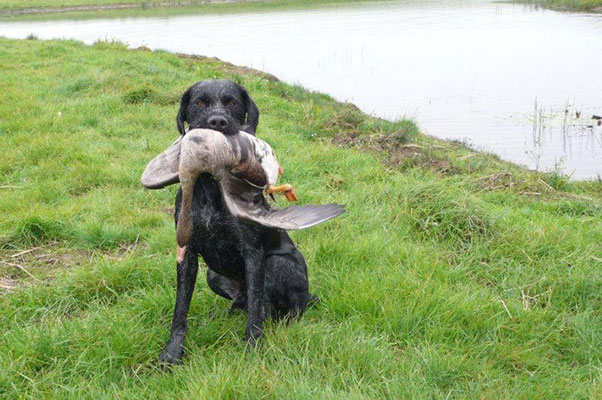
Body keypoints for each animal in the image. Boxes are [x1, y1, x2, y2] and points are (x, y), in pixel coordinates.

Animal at [157, 79, 312, 364]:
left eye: (231, 103)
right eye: (199, 102)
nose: (217, 121)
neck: (211, 186)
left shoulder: (252, 252)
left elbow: (255, 308)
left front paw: (252, 347)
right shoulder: (187, 253)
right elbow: (180, 308)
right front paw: (172, 352)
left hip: (278, 264)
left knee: (277, 309)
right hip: (213, 274)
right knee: (246, 301)